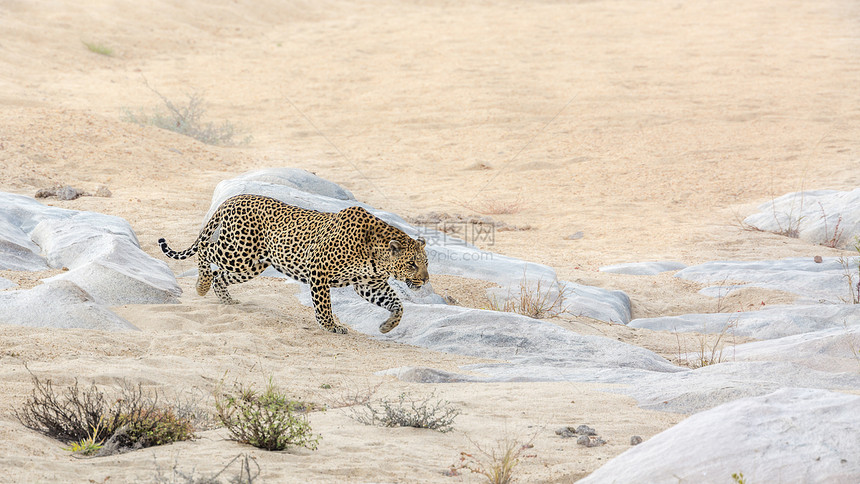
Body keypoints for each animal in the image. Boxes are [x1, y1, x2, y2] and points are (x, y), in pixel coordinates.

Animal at [156, 193, 428, 332]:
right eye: (412, 264)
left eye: (426, 263)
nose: (425, 279)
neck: (377, 257)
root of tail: (234, 198)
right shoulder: (319, 271)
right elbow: (324, 305)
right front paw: (330, 326)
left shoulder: (369, 284)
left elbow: (397, 305)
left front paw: (387, 326)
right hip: (237, 251)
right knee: (206, 250)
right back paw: (200, 285)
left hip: (252, 264)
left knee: (220, 276)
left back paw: (228, 301)